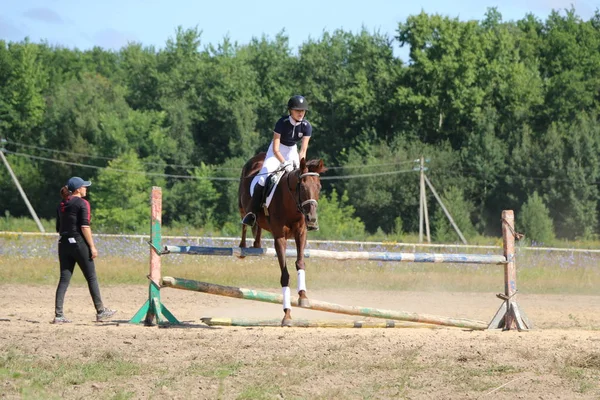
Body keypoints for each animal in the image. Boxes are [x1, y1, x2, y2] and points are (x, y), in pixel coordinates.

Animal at [237, 152, 326, 326]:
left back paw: (256, 244)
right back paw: (242, 247)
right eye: (303, 187)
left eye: (319, 187)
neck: (290, 203)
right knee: (245, 220)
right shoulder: (279, 238)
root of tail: (257, 157)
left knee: (258, 227)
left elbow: (300, 263)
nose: (312, 219)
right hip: (242, 206)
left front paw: (303, 296)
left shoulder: (301, 234)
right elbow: (285, 275)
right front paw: (287, 315)